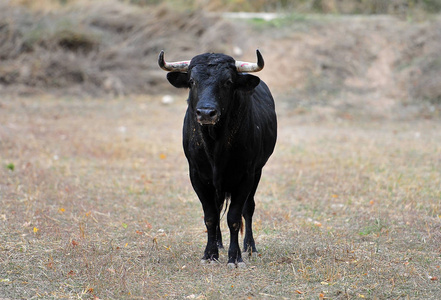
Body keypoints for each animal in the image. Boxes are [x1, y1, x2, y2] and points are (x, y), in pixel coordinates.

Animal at [157, 49, 276, 268]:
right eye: (192, 81)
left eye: (228, 81)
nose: (206, 113)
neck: (215, 146)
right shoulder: (197, 176)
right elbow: (211, 216)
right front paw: (210, 254)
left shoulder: (245, 176)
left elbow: (235, 217)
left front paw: (235, 257)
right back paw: (219, 244)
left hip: (257, 172)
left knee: (249, 208)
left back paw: (249, 247)